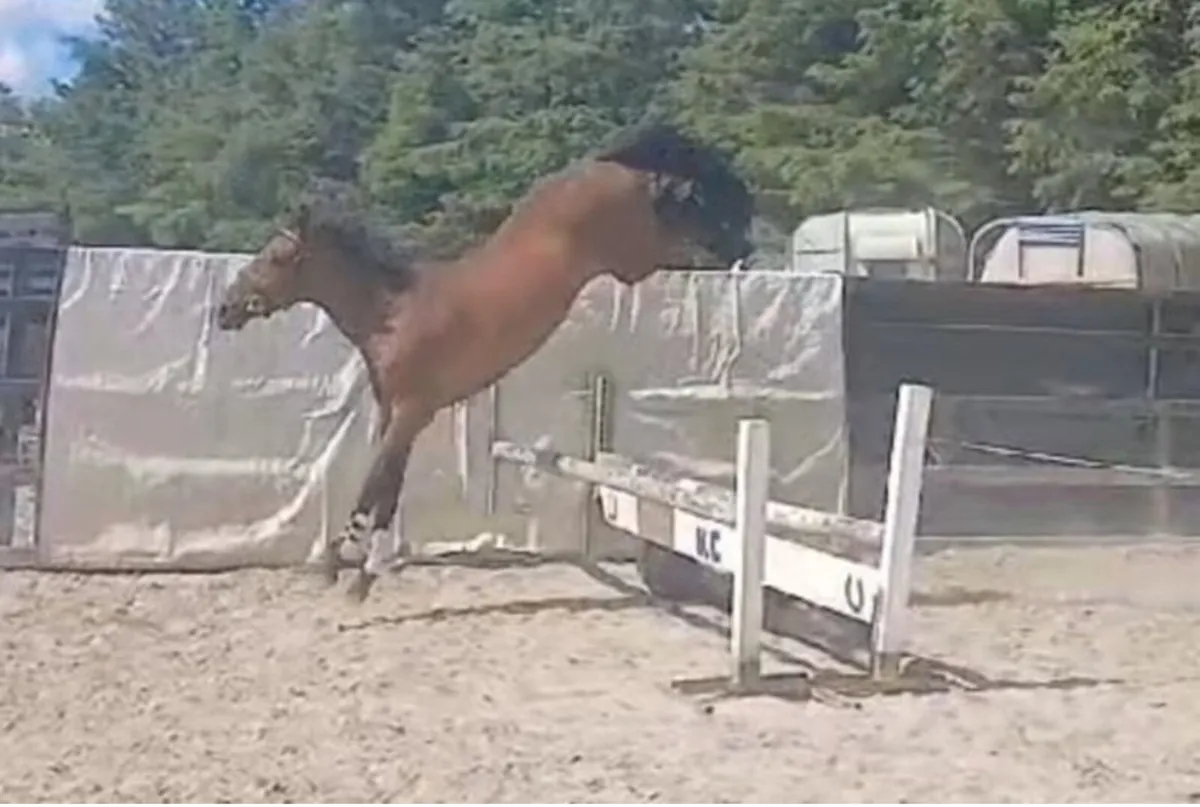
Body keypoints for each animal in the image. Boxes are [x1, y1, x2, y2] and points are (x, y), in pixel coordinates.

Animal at [214, 123, 755, 602]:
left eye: (277, 257)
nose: (225, 308)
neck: (393, 315)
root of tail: (598, 169)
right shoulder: (400, 416)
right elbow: (388, 488)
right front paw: (366, 574)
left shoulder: (410, 411)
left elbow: (374, 485)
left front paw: (339, 566)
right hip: (632, 259)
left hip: (634, 255)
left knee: (677, 216)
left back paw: (726, 236)